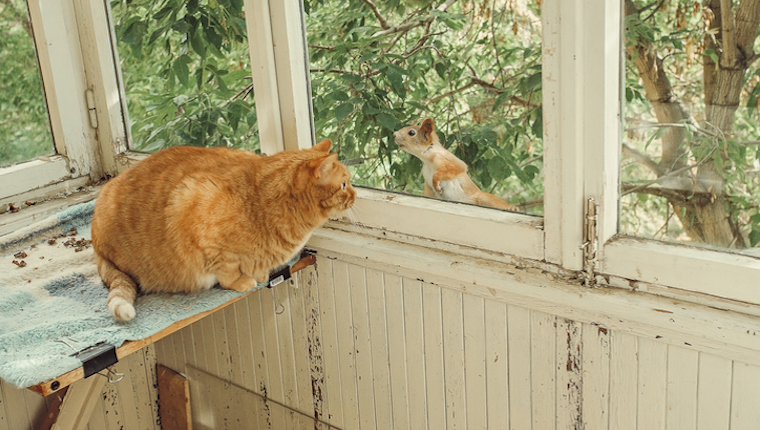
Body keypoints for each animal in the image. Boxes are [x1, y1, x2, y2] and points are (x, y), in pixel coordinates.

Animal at [93, 139, 356, 320]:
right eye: (344, 184)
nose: (355, 195)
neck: (260, 202)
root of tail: (95, 244)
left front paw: (260, 273)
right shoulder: (196, 214)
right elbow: (227, 270)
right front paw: (242, 281)